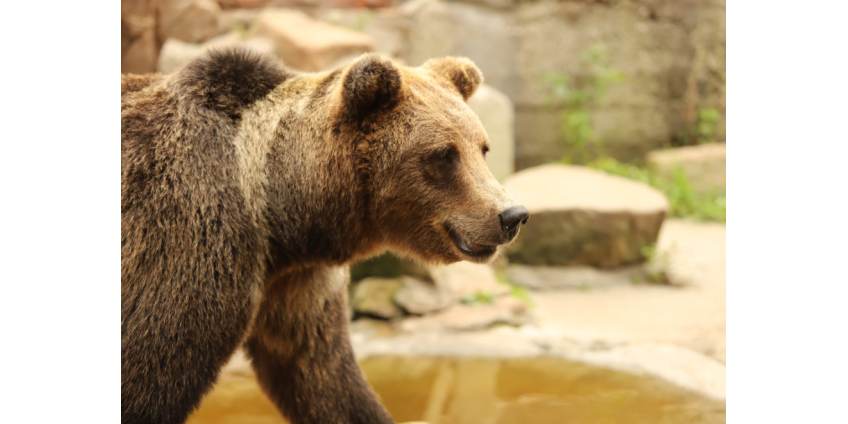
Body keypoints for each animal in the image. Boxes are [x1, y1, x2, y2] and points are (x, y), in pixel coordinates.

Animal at [121, 47, 529, 424]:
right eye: (444, 154)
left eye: (482, 148)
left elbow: (323, 377)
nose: (512, 215)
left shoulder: (299, 283)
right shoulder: (188, 242)